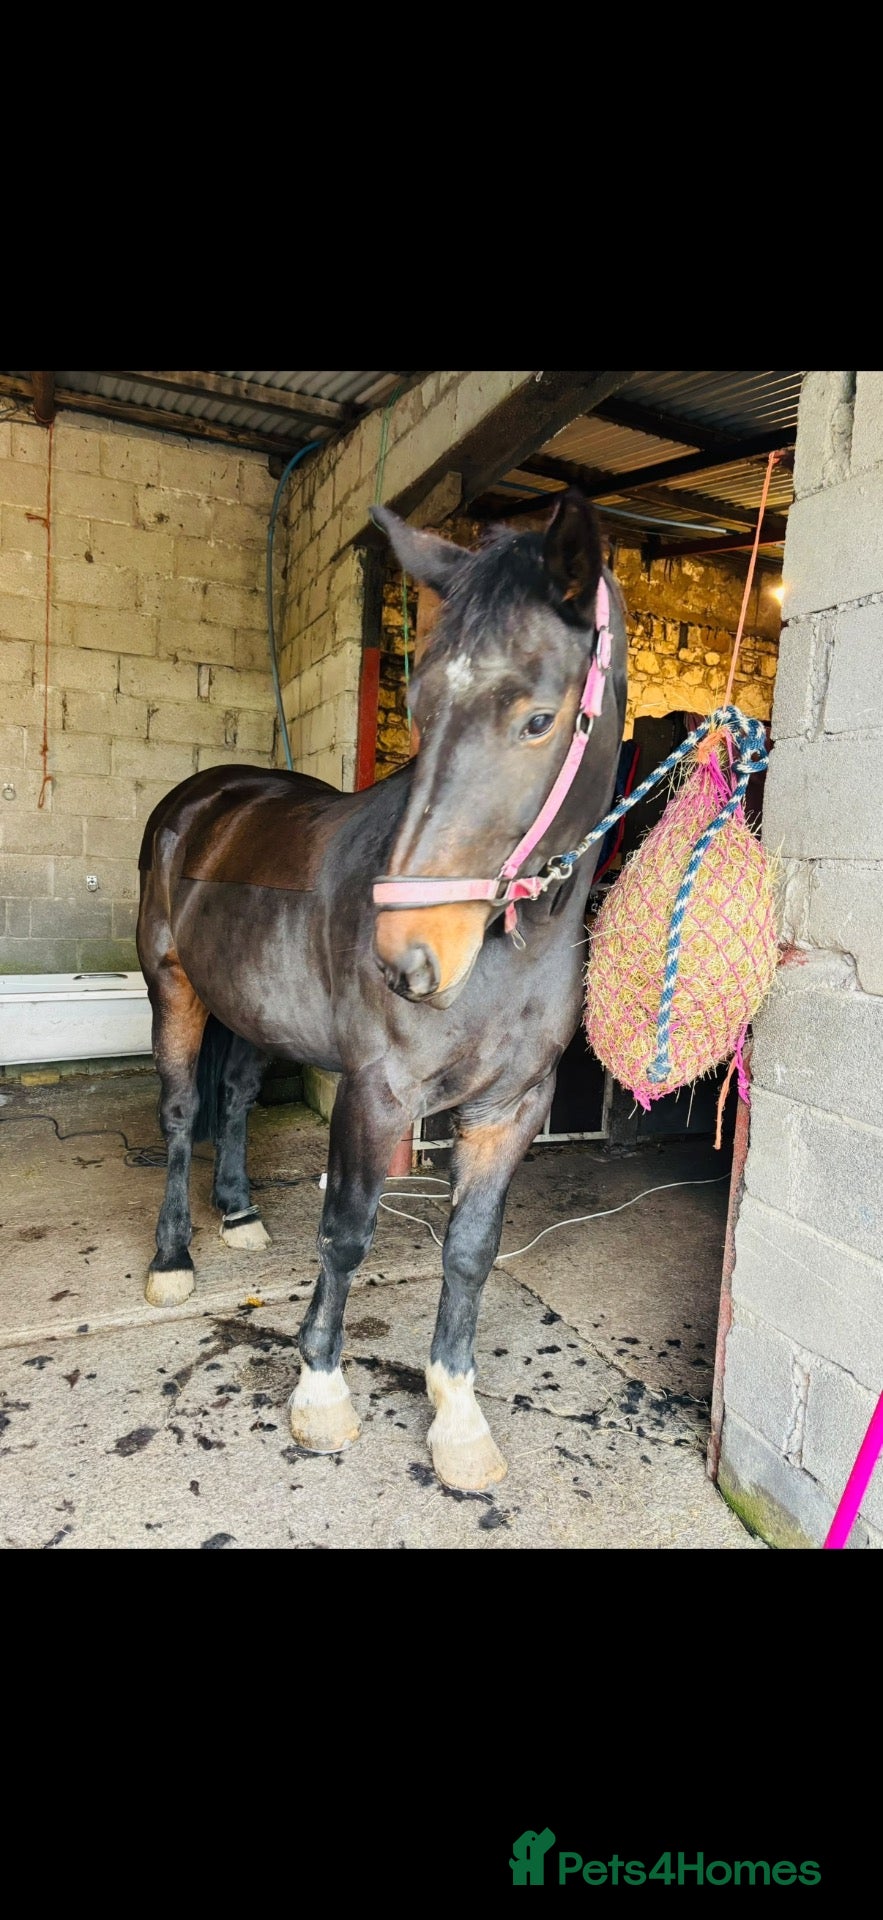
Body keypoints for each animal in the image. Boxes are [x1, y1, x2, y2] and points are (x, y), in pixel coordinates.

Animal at [136, 490, 628, 1491]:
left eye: (538, 720)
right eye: (421, 704)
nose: (408, 960)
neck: (508, 955)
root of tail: (203, 800)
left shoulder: (513, 1108)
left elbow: (470, 1252)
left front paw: (457, 1417)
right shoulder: (377, 1093)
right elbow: (347, 1232)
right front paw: (320, 1394)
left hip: (253, 1010)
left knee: (234, 1098)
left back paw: (239, 1213)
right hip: (173, 988)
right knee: (179, 1114)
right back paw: (174, 1257)